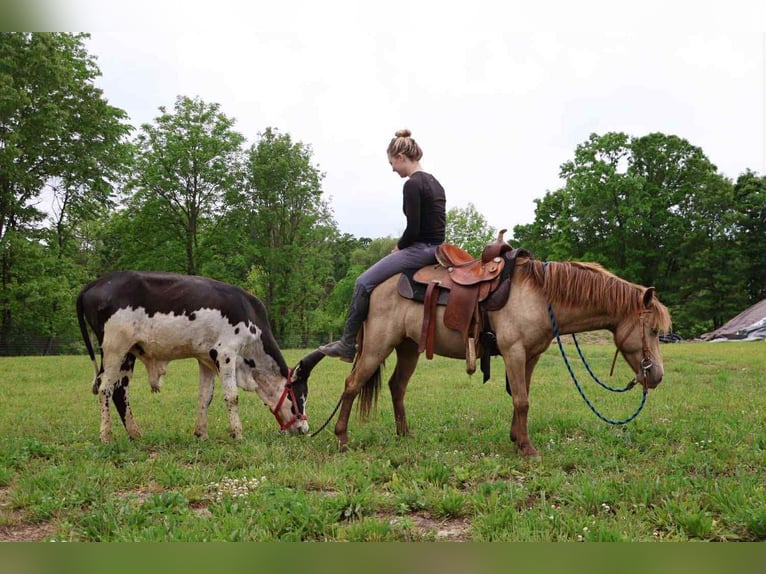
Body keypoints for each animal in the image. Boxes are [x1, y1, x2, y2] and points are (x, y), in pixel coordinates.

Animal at [300, 251, 671, 458]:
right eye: (653, 330)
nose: (656, 376)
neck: (540, 296)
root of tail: (375, 285)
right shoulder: (514, 351)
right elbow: (522, 400)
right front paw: (528, 448)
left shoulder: (531, 356)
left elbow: (522, 397)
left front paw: (517, 439)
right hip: (377, 345)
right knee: (352, 383)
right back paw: (342, 438)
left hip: (407, 348)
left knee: (396, 386)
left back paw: (405, 435)